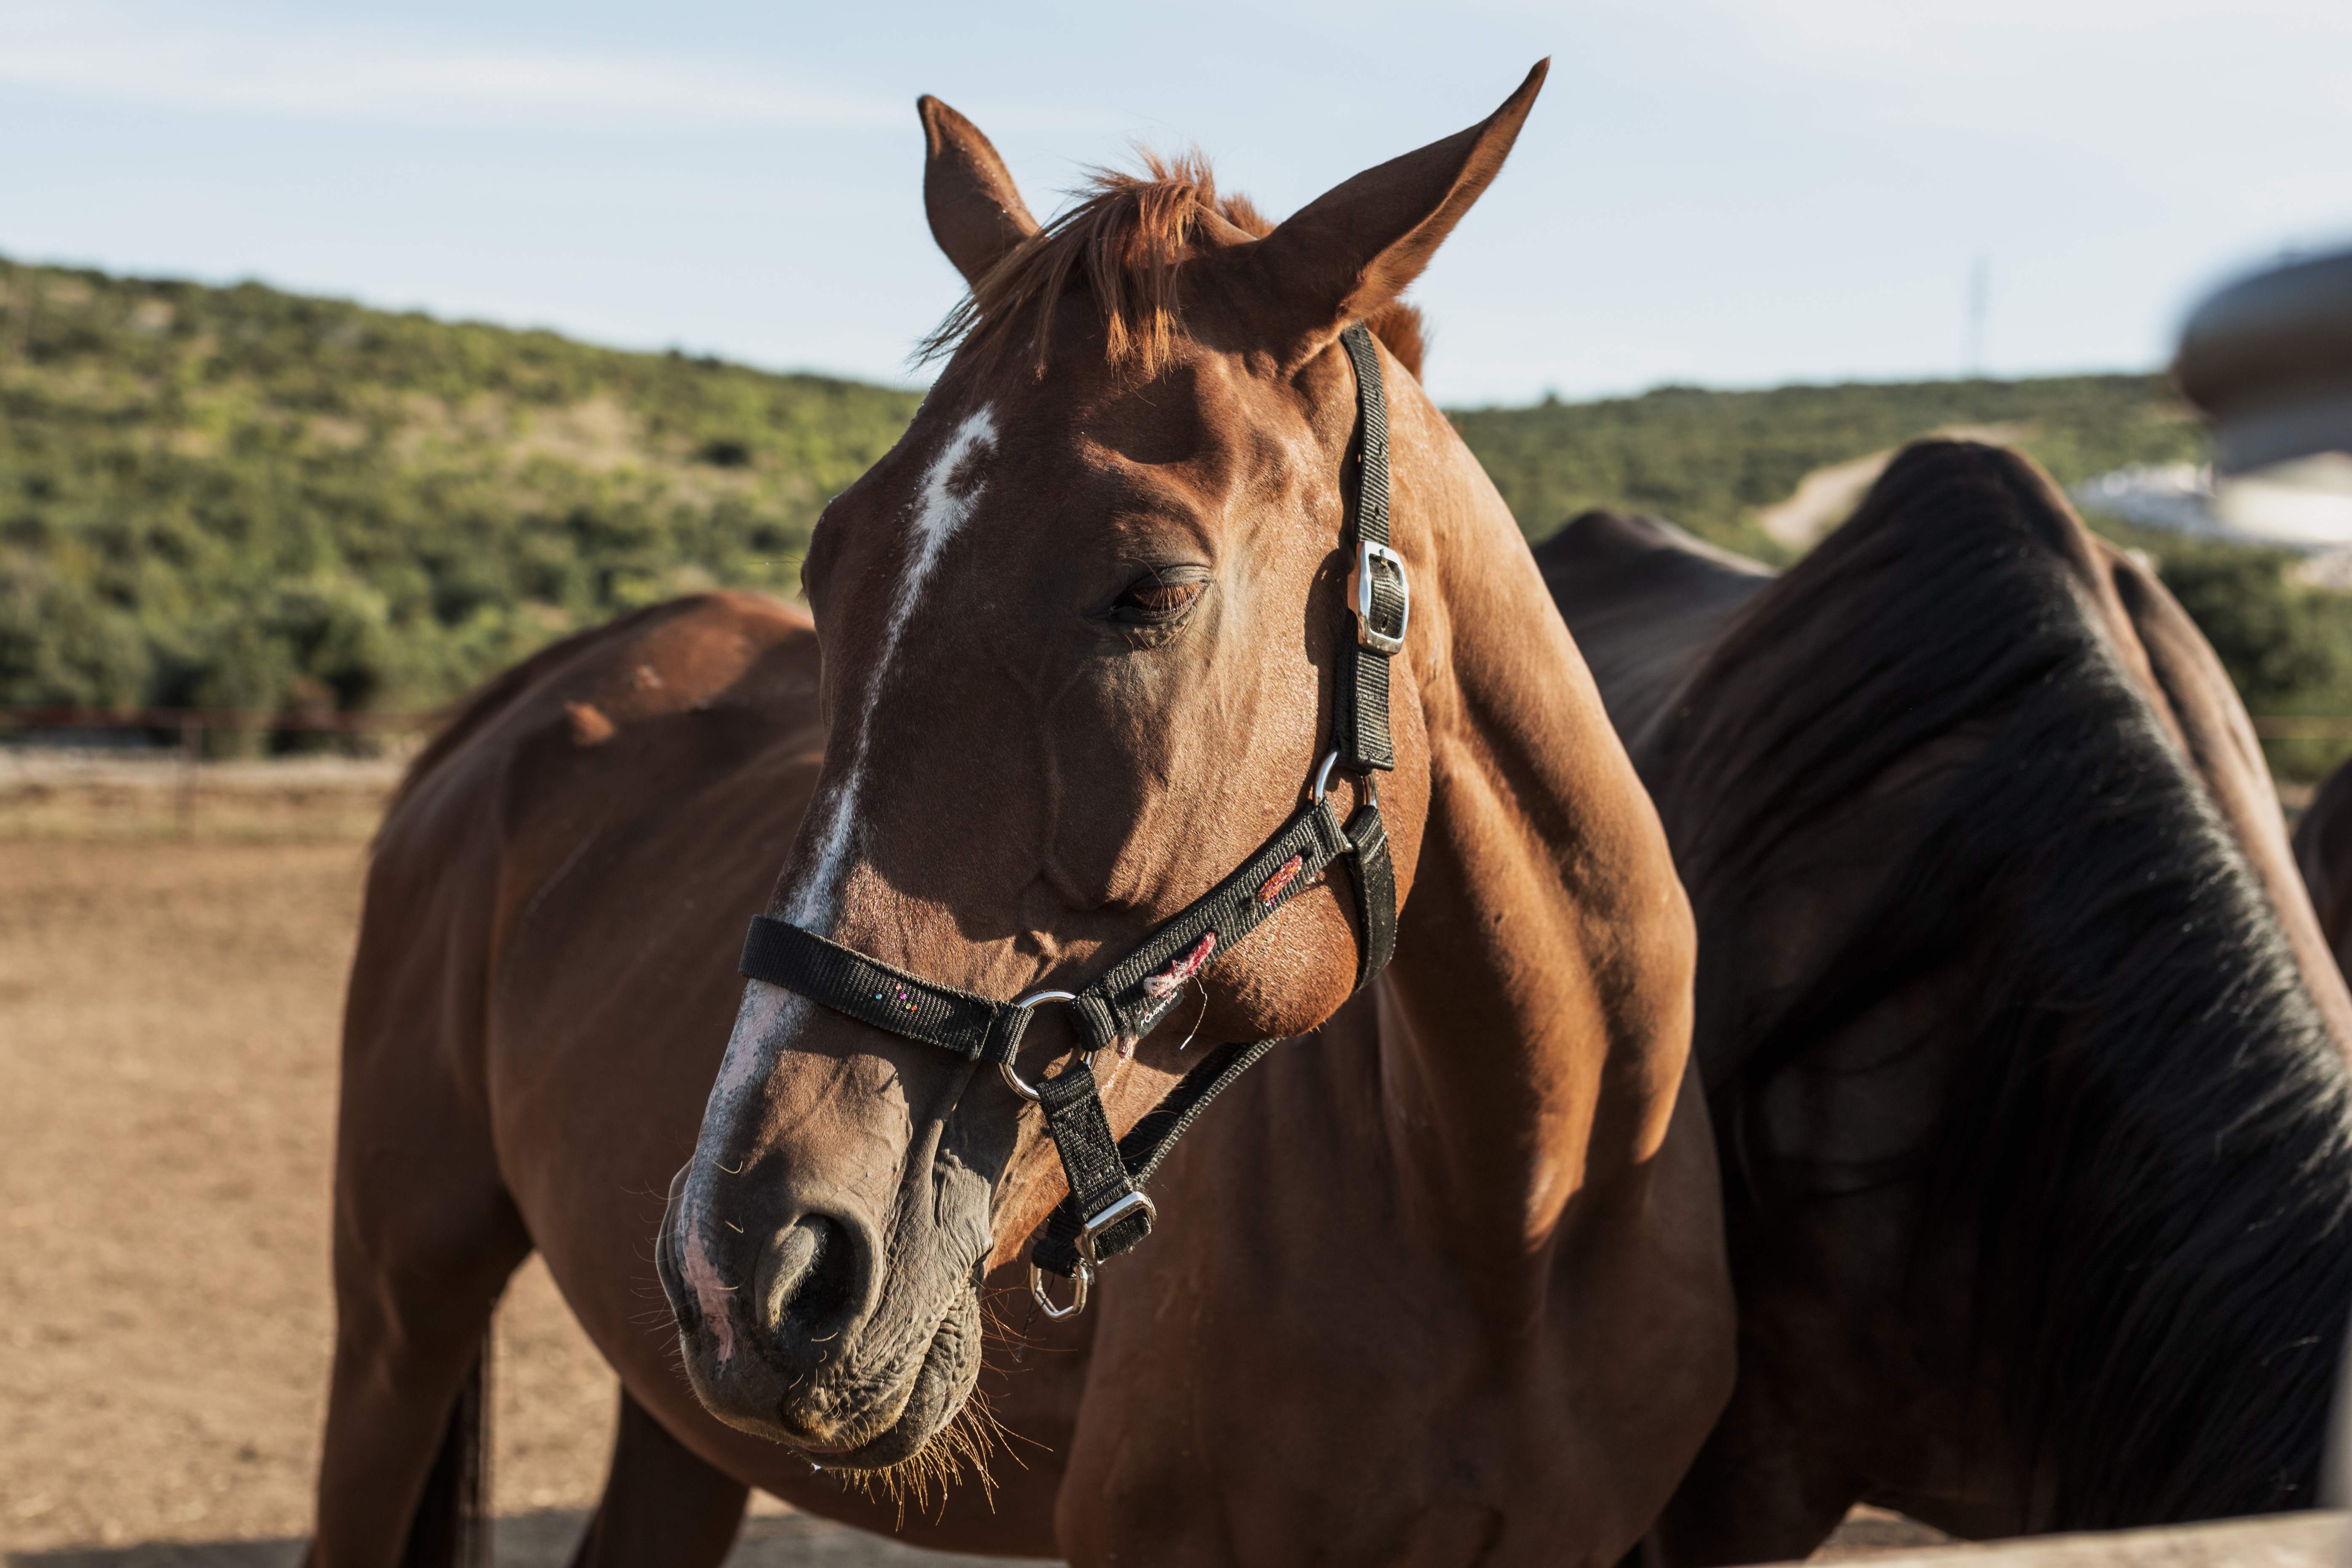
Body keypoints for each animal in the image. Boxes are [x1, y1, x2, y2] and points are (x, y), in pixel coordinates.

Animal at [312, 65, 1739, 1567]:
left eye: (1153, 588)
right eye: (831, 561)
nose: (756, 1255)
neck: (1517, 1214)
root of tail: (524, 699)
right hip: (401, 1304)